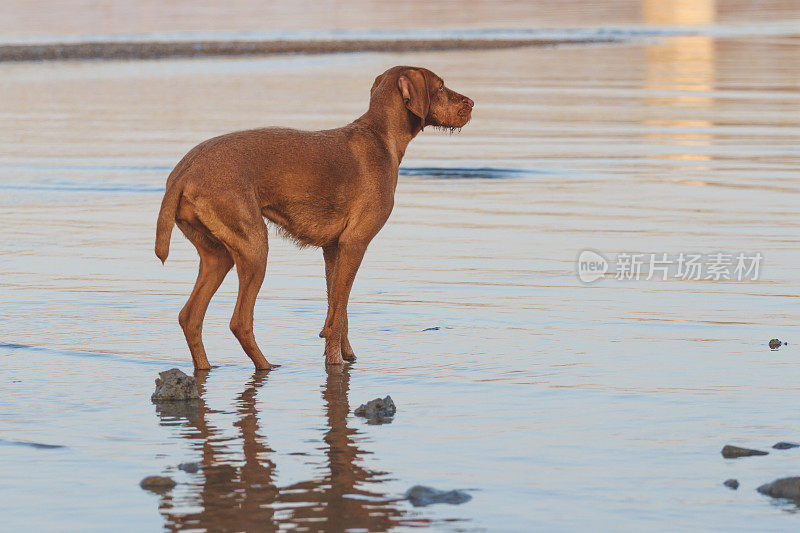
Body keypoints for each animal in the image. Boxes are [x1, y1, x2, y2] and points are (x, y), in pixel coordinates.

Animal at [153, 64, 472, 368]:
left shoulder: (333, 250)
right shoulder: (355, 244)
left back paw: (206, 368)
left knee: (190, 316)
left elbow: (337, 311)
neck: (381, 137)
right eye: (440, 86)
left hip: (218, 257)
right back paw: (266, 366)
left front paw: (346, 355)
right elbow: (337, 315)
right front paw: (334, 361)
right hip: (254, 248)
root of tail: (184, 172)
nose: (471, 103)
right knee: (239, 322)